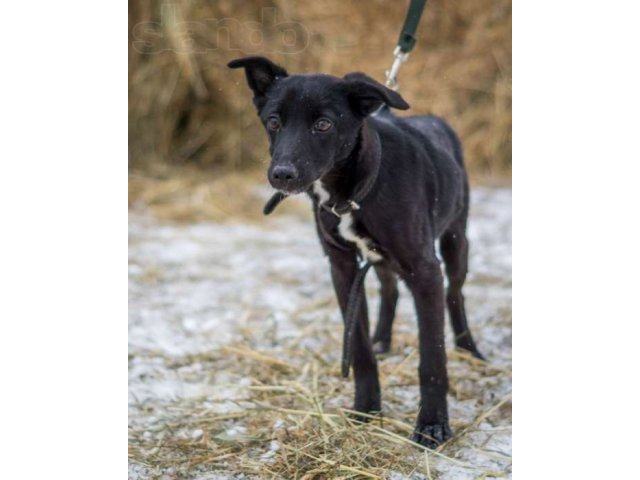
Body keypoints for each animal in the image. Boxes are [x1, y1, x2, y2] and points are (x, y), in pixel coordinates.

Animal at [228, 56, 482, 450]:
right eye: (273, 122)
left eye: (323, 124)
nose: (281, 175)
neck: (352, 192)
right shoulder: (343, 267)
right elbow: (359, 350)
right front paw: (366, 409)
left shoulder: (425, 270)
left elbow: (432, 358)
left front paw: (432, 426)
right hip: (382, 259)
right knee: (390, 288)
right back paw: (382, 339)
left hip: (456, 240)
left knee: (455, 294)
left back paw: (469, 348)